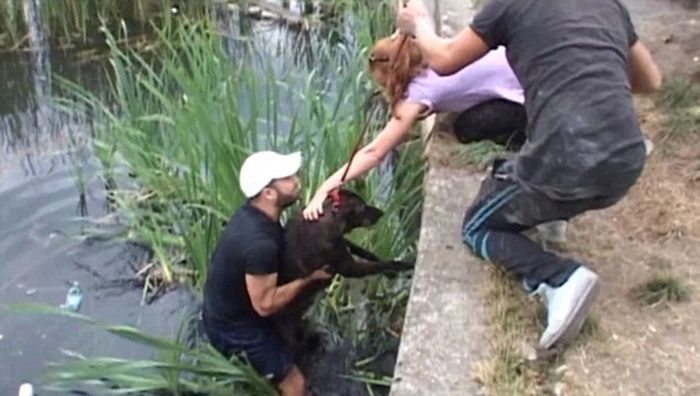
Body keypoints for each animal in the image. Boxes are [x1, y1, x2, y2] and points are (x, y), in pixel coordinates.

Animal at [274, 190, 416, 352]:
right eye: (362, 207)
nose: (381, 213)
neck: (328, 216)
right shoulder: (349, 267)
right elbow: (382, 264)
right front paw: (402, 265)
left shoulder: (343, 244)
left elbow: (364, 252)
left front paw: (381, 263)